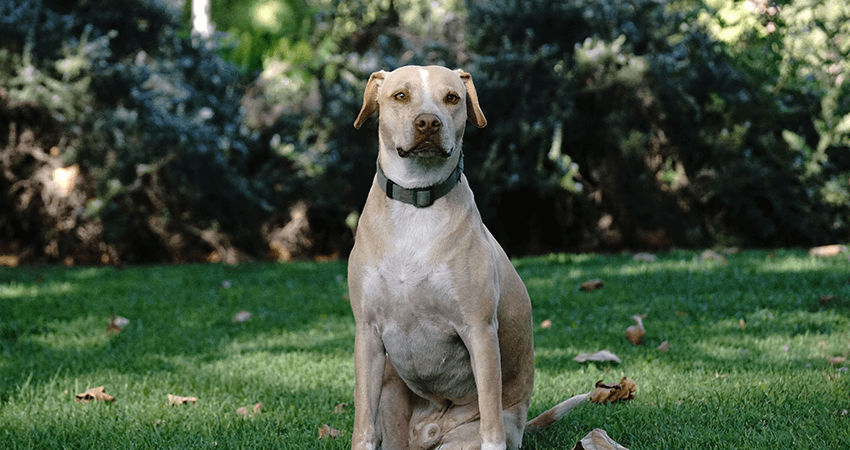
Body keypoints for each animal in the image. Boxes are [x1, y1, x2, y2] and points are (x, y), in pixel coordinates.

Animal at [348, 66, 580, 450]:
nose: (428, 122)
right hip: (391, 398)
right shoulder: (367, 334)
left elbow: (490, 418)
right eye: (400, 96)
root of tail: (428, 433)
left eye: (452, 97)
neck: (418, 202)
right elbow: (363, 425)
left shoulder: (479, 331)